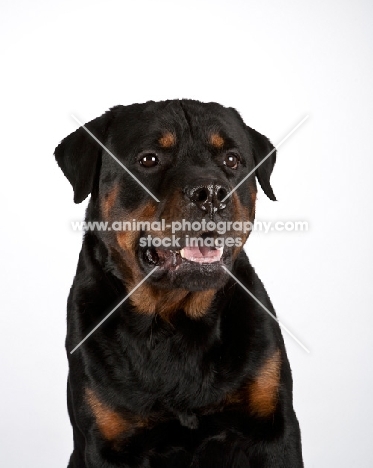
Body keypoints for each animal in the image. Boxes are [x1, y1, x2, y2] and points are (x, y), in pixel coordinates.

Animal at [54, 98, 302, 464]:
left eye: (232, 160)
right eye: (149, 159)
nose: (211, 193)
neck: (175, 320)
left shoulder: (273, 430)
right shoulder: (108, 441)